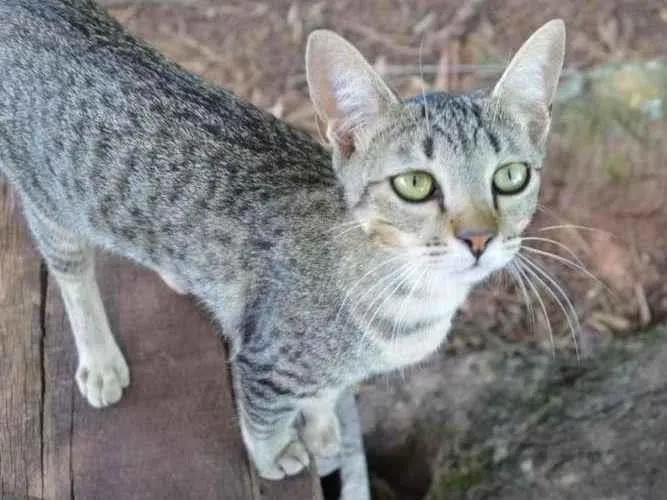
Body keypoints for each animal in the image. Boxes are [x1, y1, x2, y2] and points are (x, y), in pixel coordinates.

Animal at [0, 0, 568, 482]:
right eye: (415, 184)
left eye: (511, 176)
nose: (479, 238)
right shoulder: (262, 363)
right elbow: (266, 419)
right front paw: (276, 457)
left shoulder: (328, 370)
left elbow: (324, 392)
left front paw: (322, 428)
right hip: (51, 204)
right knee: (71, 274)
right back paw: (100, 360)